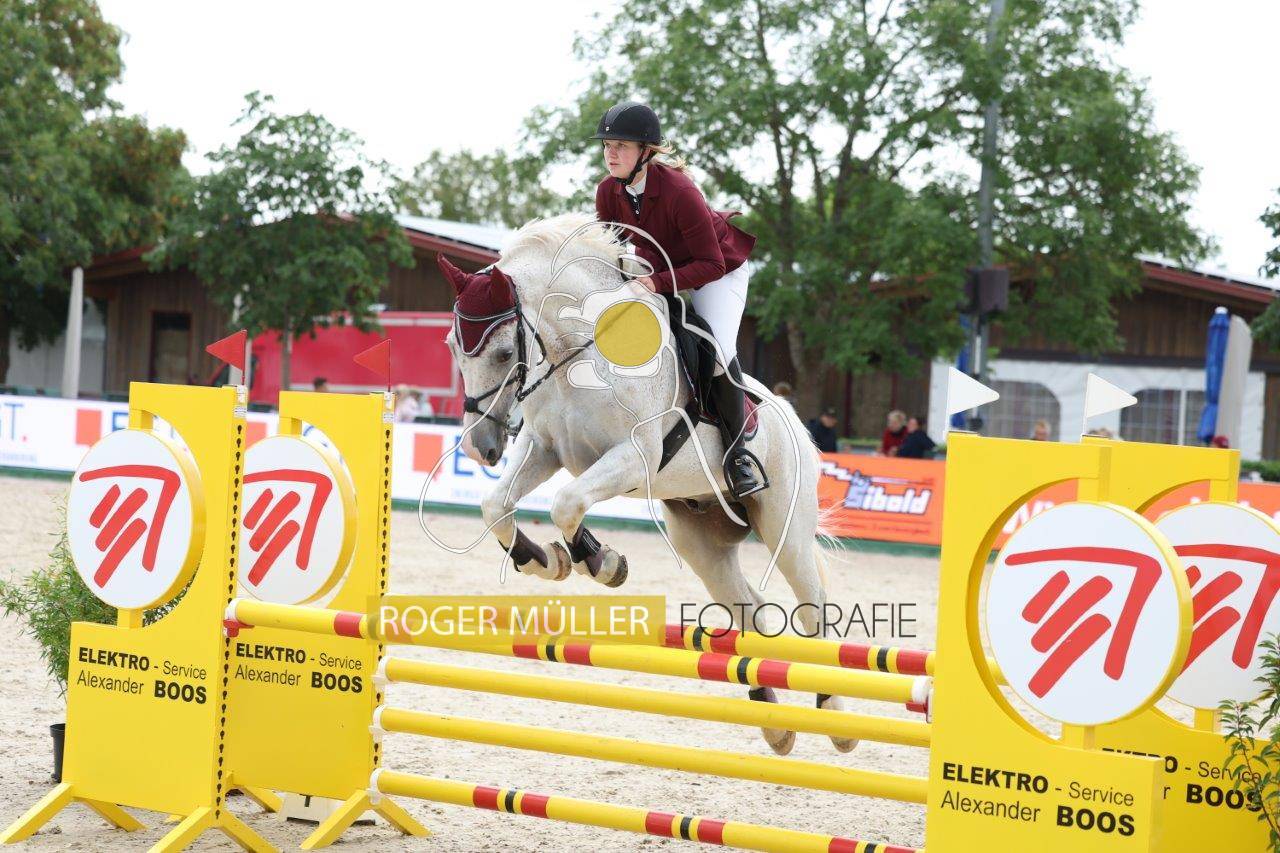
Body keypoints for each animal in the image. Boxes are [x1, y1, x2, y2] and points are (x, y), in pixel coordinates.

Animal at [436, 212, 853, 755]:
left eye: (506, 353)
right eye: (452, 348)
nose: (479, 446)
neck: (579, 354)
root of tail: (795, 423)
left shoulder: (633, 458)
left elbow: (566, 503)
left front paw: (602, 562)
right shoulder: (545, 449)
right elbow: (496, 505)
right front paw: (545, 560)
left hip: (786, 529)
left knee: (813, 610)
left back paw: (835, 717)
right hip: (701, 542)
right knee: (751, 611)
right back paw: (775, 725)